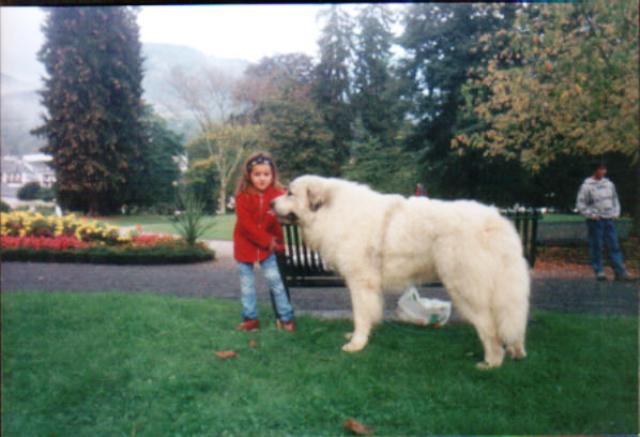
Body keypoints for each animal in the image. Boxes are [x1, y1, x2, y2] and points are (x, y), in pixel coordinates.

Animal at [272, 175, 532, 366]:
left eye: (289, 193)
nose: (271, 204)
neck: (332, 212)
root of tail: (496, 221)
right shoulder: (370, 284)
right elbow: (371, 311)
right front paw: (365, 334)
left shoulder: (360, 280)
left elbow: (360, 314)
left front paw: (356, 343)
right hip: (503, 287)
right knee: (512, 319)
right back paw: (517, 351)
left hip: (465, 287)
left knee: (489, 327)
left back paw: (491, 362)